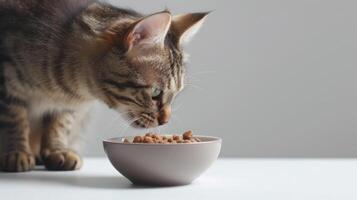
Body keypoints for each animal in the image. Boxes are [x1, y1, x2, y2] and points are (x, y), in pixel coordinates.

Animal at [0, 0, 207, 172]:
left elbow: (59, 125)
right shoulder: (7, 84)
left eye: (176, 94)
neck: (67, 89)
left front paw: (57, 150)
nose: (165, 121)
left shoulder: (67, 107)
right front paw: (16, 152)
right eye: (156, 92)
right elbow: (15, 119)